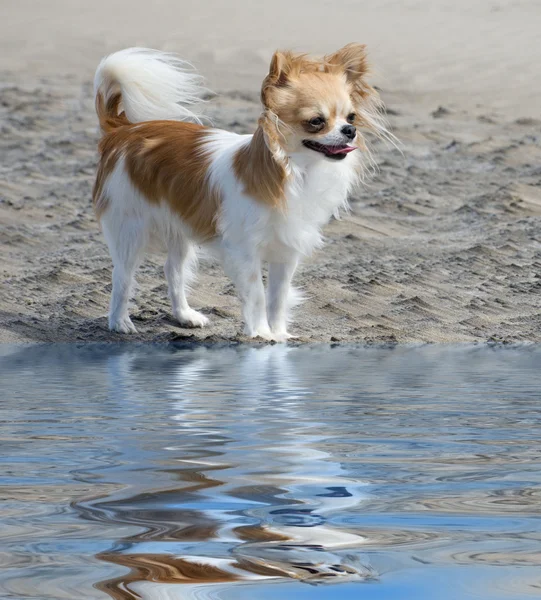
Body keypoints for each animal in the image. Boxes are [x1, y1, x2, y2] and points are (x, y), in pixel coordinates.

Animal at [93, 44, 388, 340]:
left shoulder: (286, 251)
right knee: (122, 275)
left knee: (173, 270)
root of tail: (124, 130)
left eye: (351, 117)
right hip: (129, 227)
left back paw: (184, 316)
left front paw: (279, 334)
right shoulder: (245, 251)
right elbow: (257, 295)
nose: (350, 130)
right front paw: (261, 333)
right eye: (316, 121)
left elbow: (277, 298)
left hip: (179, 227)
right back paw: (119, 321)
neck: (295, 173)